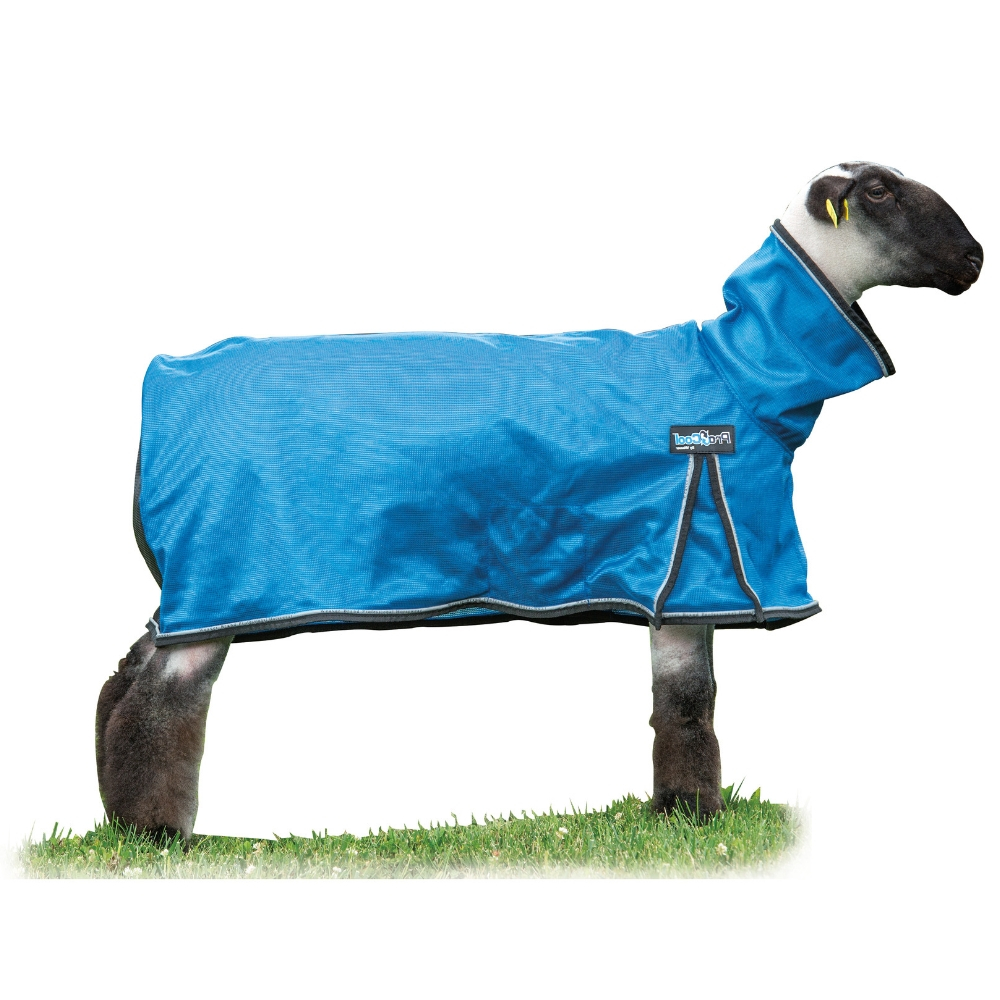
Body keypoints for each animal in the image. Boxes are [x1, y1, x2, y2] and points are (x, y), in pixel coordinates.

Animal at [96, 162, 983, 841]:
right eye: (879, 191)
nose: (975, 259)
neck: (742, 371)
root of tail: (167, 374)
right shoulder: (697, 568)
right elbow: (690, 704)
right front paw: (697, 817)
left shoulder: (678, 583)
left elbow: (680, 700)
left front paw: (676, 814)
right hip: (221, 572)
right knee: (163, 697)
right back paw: (156, 831)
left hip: (193, 585)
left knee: (129, 669)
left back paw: (116, 809)